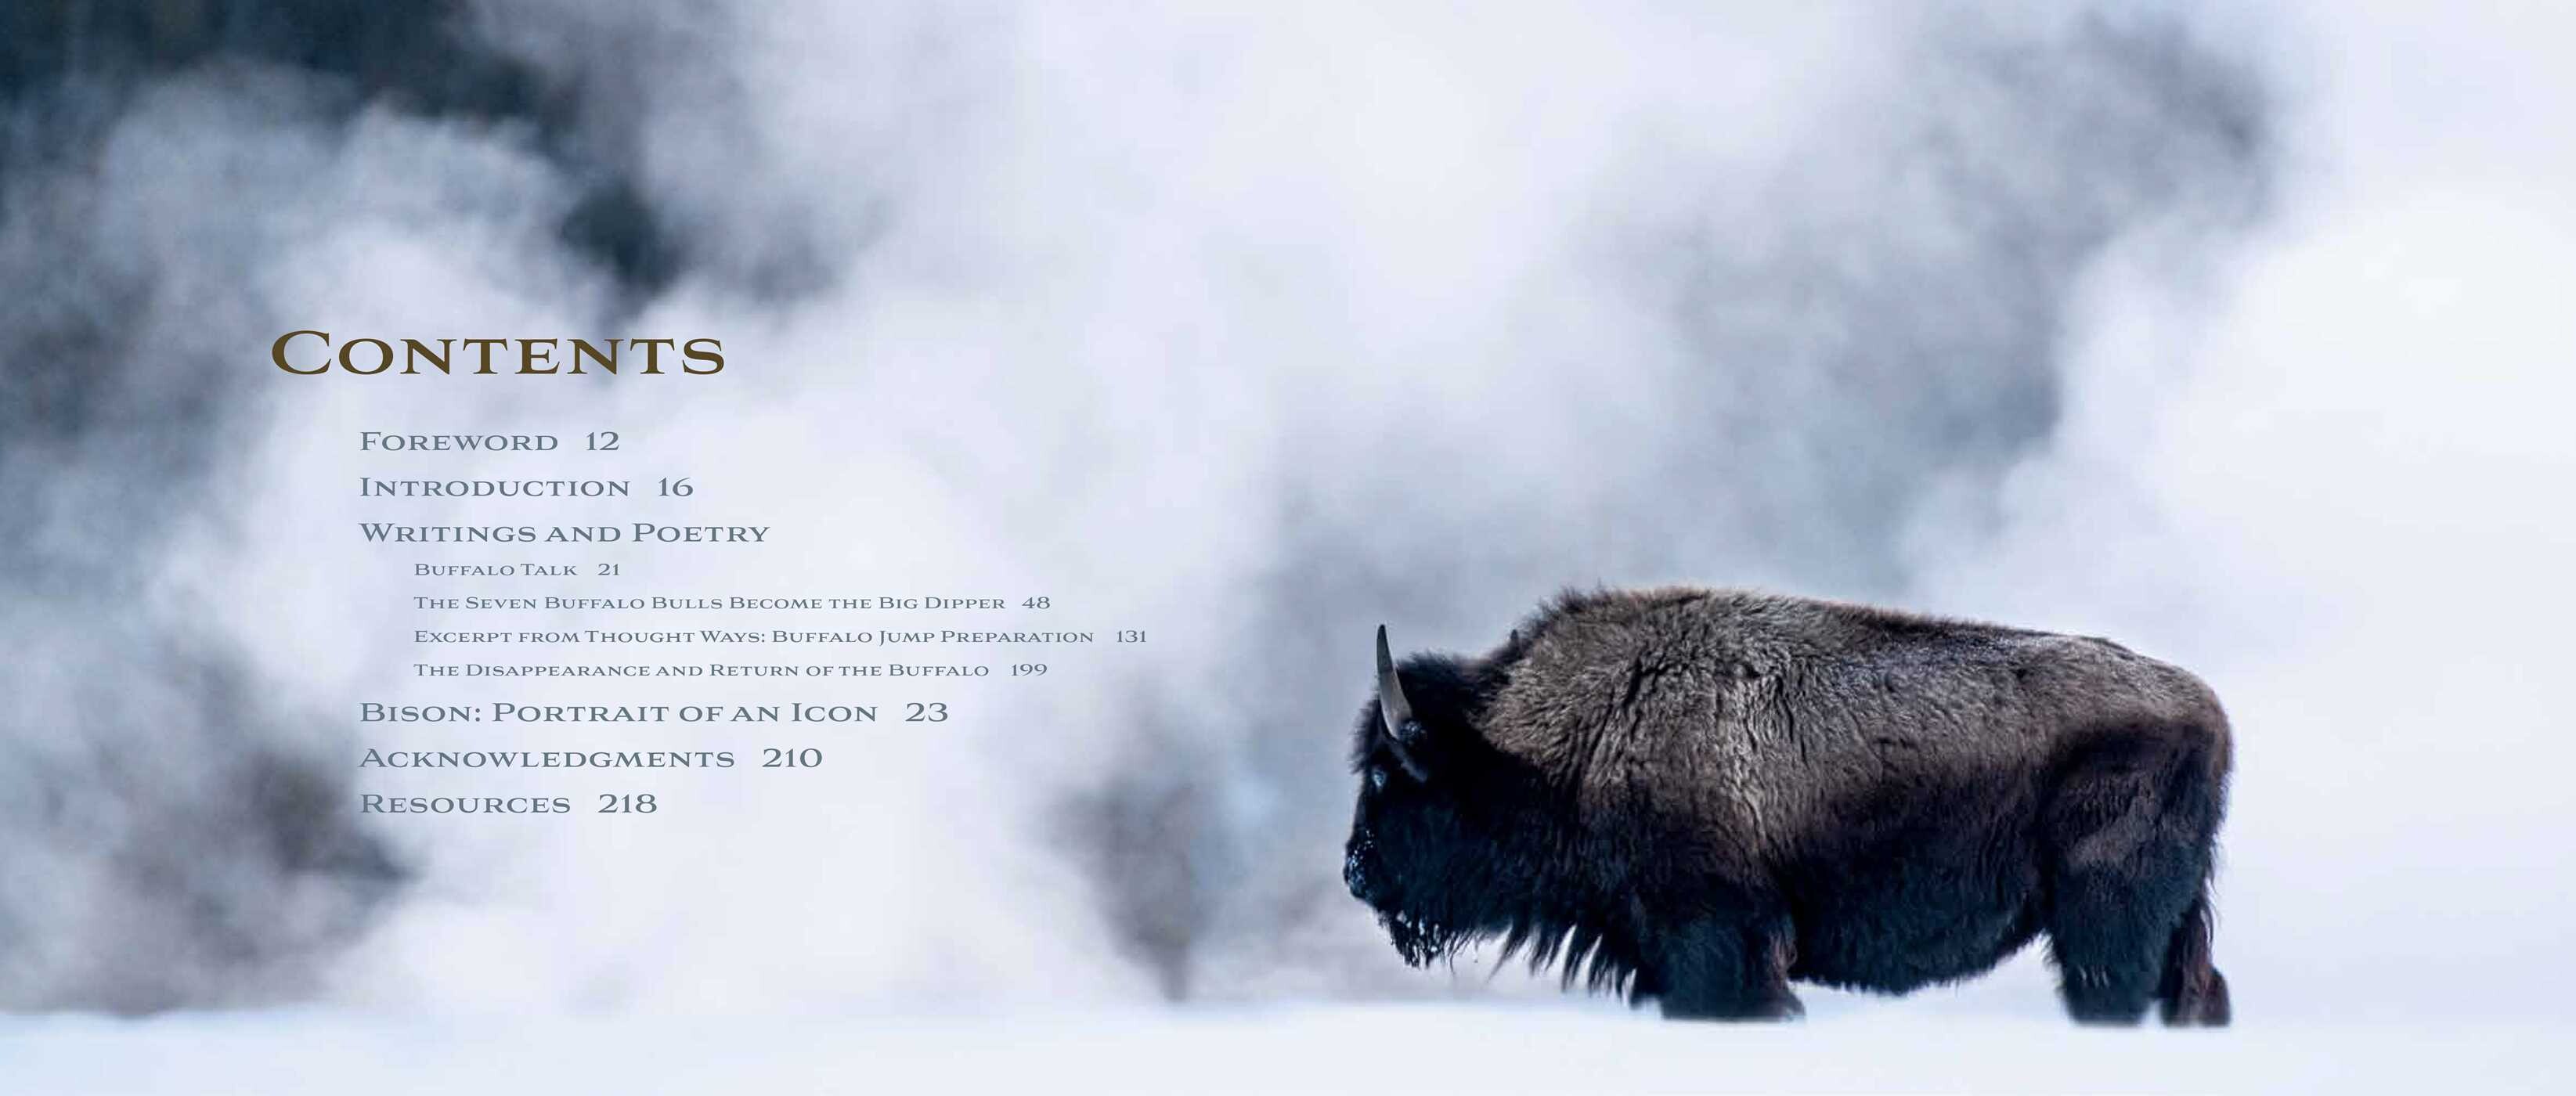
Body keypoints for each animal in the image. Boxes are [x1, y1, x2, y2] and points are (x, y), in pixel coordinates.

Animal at [1343, 587, 2231, 1024]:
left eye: (1386, 775)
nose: (1356, 871)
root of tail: (2207, 710)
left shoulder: (1718, 942)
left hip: (2105, 926)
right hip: (2172, 925)